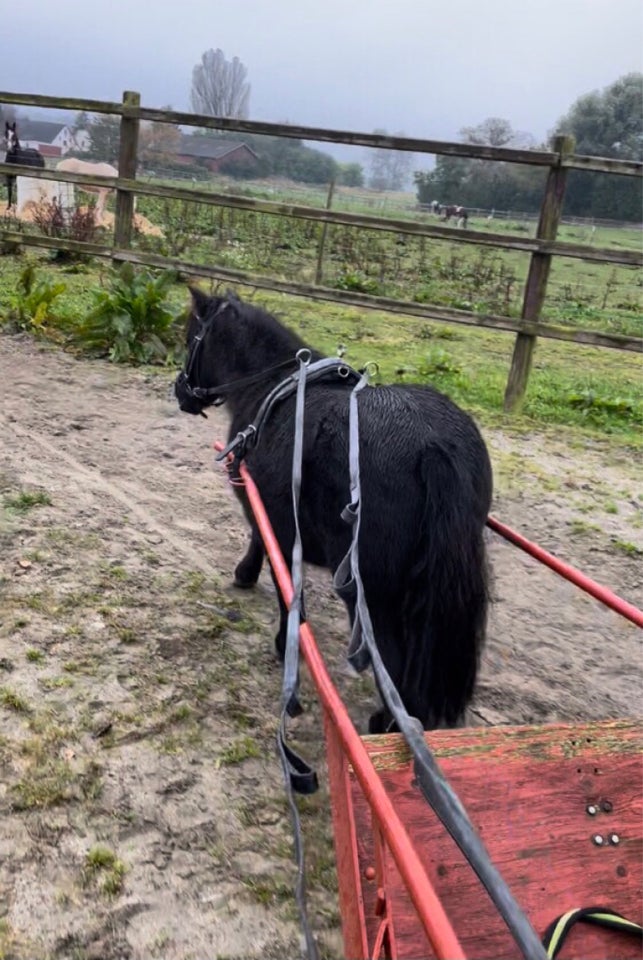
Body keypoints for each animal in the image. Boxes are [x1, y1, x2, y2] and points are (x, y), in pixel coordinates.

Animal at [176, 288, 494, 732]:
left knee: (392, 661)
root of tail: (434, 447)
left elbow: (280, 576)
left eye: (191, 337)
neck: (272, 388)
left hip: (371, 593)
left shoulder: (272, 515)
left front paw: (273, 624)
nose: (180, 391)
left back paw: (388, 724)